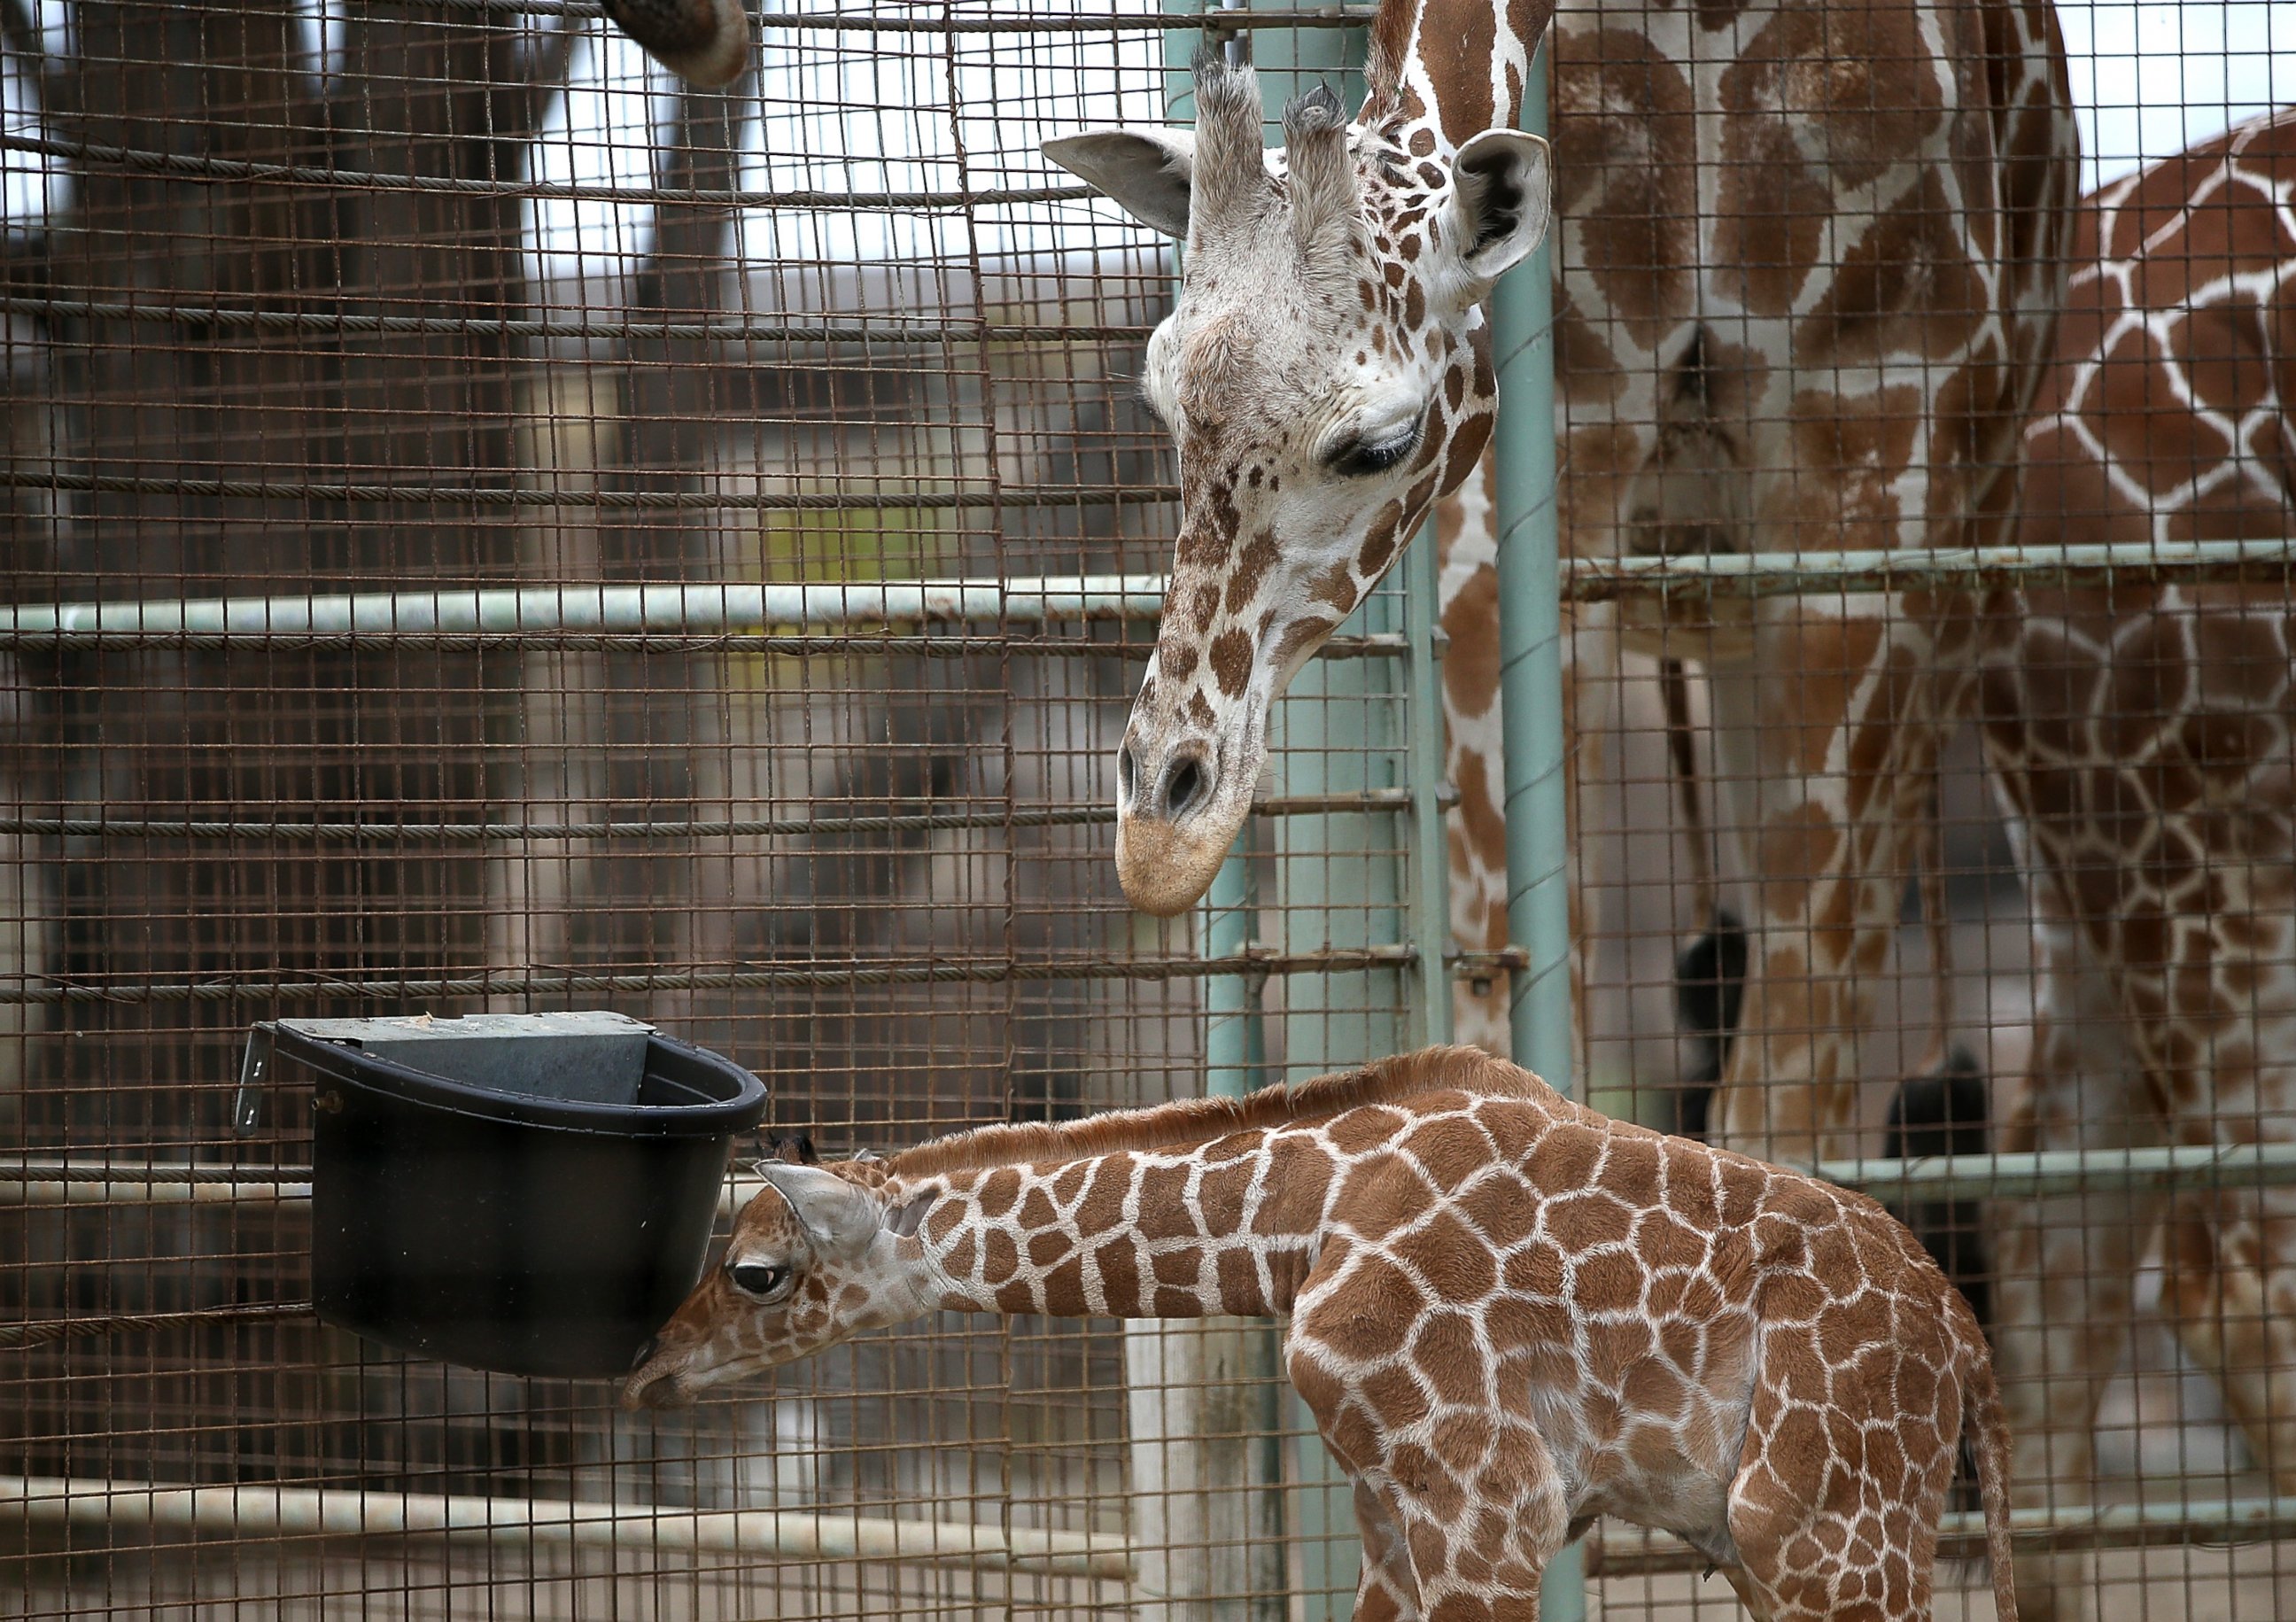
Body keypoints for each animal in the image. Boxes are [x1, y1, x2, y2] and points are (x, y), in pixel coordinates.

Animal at [624, 1043, 2011, 1608]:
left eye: (755, 1270)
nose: (647, 1368)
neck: (1292, 1223)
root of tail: (1965, 1339)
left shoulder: (1491, 1504)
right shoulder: (1395, 1518)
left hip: (1820, 1532)